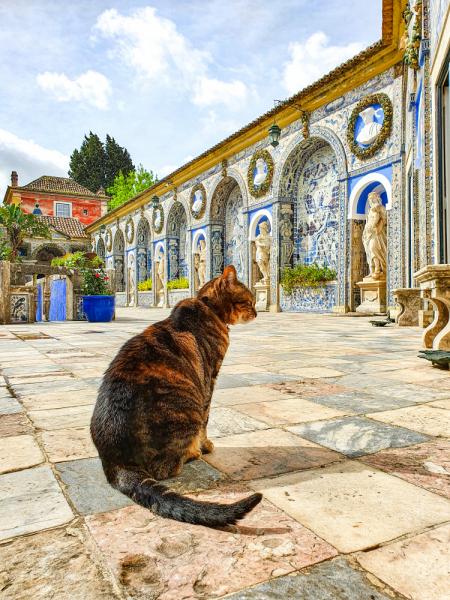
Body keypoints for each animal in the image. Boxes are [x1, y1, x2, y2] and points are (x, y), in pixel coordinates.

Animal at [89, 266, 262, 524]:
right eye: (249, 301)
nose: (257, 313)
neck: (208, 307)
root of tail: (115, 460)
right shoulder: (209, 379)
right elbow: (206, 422)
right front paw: (205, 445)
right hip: (187, 409)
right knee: (166, 468)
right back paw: (192, 453)